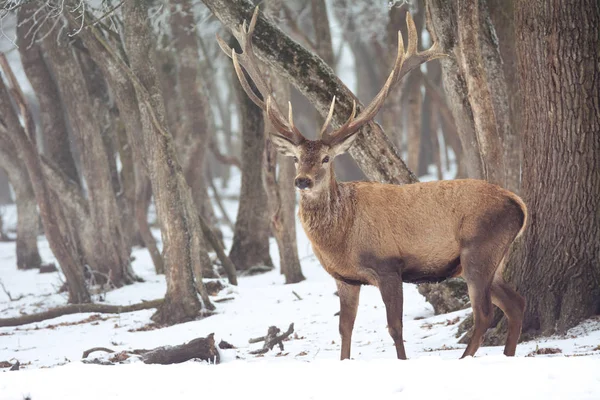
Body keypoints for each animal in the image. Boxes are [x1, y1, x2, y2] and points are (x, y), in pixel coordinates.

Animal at [219, 7, 524, 360]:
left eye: (327, 158)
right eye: (295, 158)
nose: (302, 181)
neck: (342, 239)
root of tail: (519, 204)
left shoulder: (388, 266)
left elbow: (395, 328)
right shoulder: (345, 279)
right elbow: (344, 329)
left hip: (478, 249)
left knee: (485, 312)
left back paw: (466, 358)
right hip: (488, 260)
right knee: (516, 303)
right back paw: (508, 354)